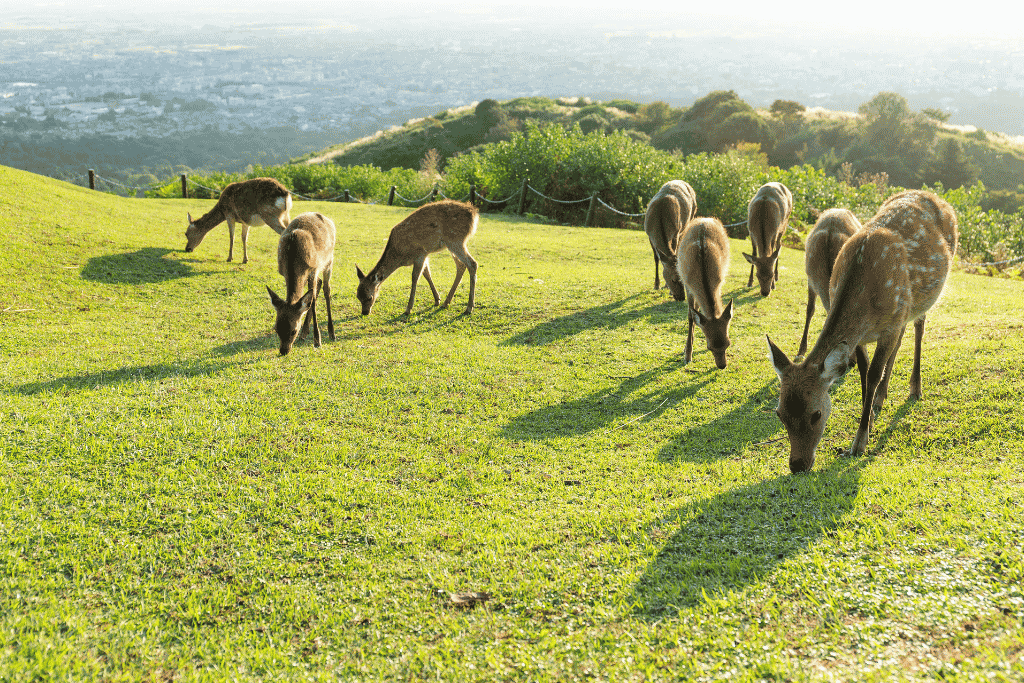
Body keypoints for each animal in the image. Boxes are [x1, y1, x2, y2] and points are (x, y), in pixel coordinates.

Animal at [266, 212, 336, 356]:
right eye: (276, 329)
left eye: (293, 331)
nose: (283, 350)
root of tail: (328, 219)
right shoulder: (285, 274)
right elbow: (306, 299)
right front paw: (306, 333)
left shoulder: (313, 269)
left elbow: (312, 301)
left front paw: (317, 341)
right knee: (319, 284)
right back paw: (305, 333)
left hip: (329, 260)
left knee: (327, 290)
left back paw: (331, 333)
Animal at [675, 217, 734, 369]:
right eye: (709, 347)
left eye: (728, 343)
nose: (722, 366)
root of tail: (704, 219)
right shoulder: (687, 285)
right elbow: (691, 316)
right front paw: (687, 355)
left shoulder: (719, 282)